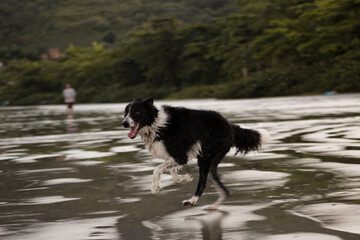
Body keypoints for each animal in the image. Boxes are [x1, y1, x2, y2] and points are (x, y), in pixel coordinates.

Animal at [121, 96, 270, 209]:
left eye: (137, 112)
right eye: (125, 113)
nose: (124, 123)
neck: (155, 123)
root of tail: (230, 126)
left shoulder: (180, 155)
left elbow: (157, 169)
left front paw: (155, 187)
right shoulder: (180, 156)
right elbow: (171, 171)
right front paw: (184, 178)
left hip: (206, 159)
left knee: (204, 184)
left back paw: (193, 201)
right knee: (221, 189)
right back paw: (212, 206)